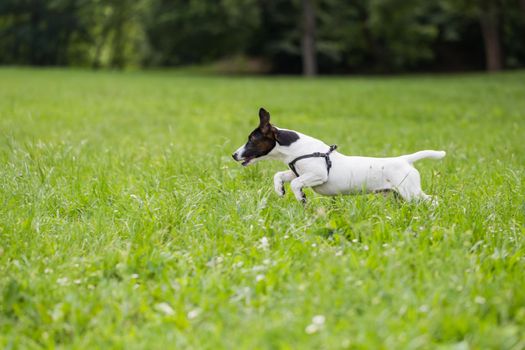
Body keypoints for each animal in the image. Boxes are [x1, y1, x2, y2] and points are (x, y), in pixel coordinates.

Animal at [231, 108, 444, 204]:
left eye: (252, 139)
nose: (234, 155)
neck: (297, 150)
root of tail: (405, 159)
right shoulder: (298, 171)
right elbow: (281, 176)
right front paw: (279, 190)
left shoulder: (318, 175)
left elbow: (296, 183)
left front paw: (300, 197)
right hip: (399, 194)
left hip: (411, 192)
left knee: (433, 199)